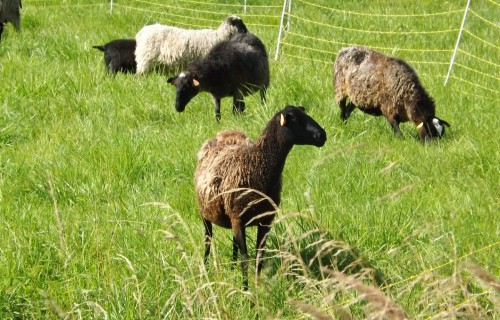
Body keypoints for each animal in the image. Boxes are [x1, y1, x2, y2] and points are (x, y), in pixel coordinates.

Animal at [195, 105, 328, 290]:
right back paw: (206, 268)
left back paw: (232, 267)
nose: (322, 135)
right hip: (206, 213)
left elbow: (260, 256)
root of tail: (224, 133)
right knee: (208, 239)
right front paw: (246, 290)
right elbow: (245, 259)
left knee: (233, 243)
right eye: (294, 118)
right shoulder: (238, 218)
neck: (257, 163)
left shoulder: (265, 219)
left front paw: (258, 287)